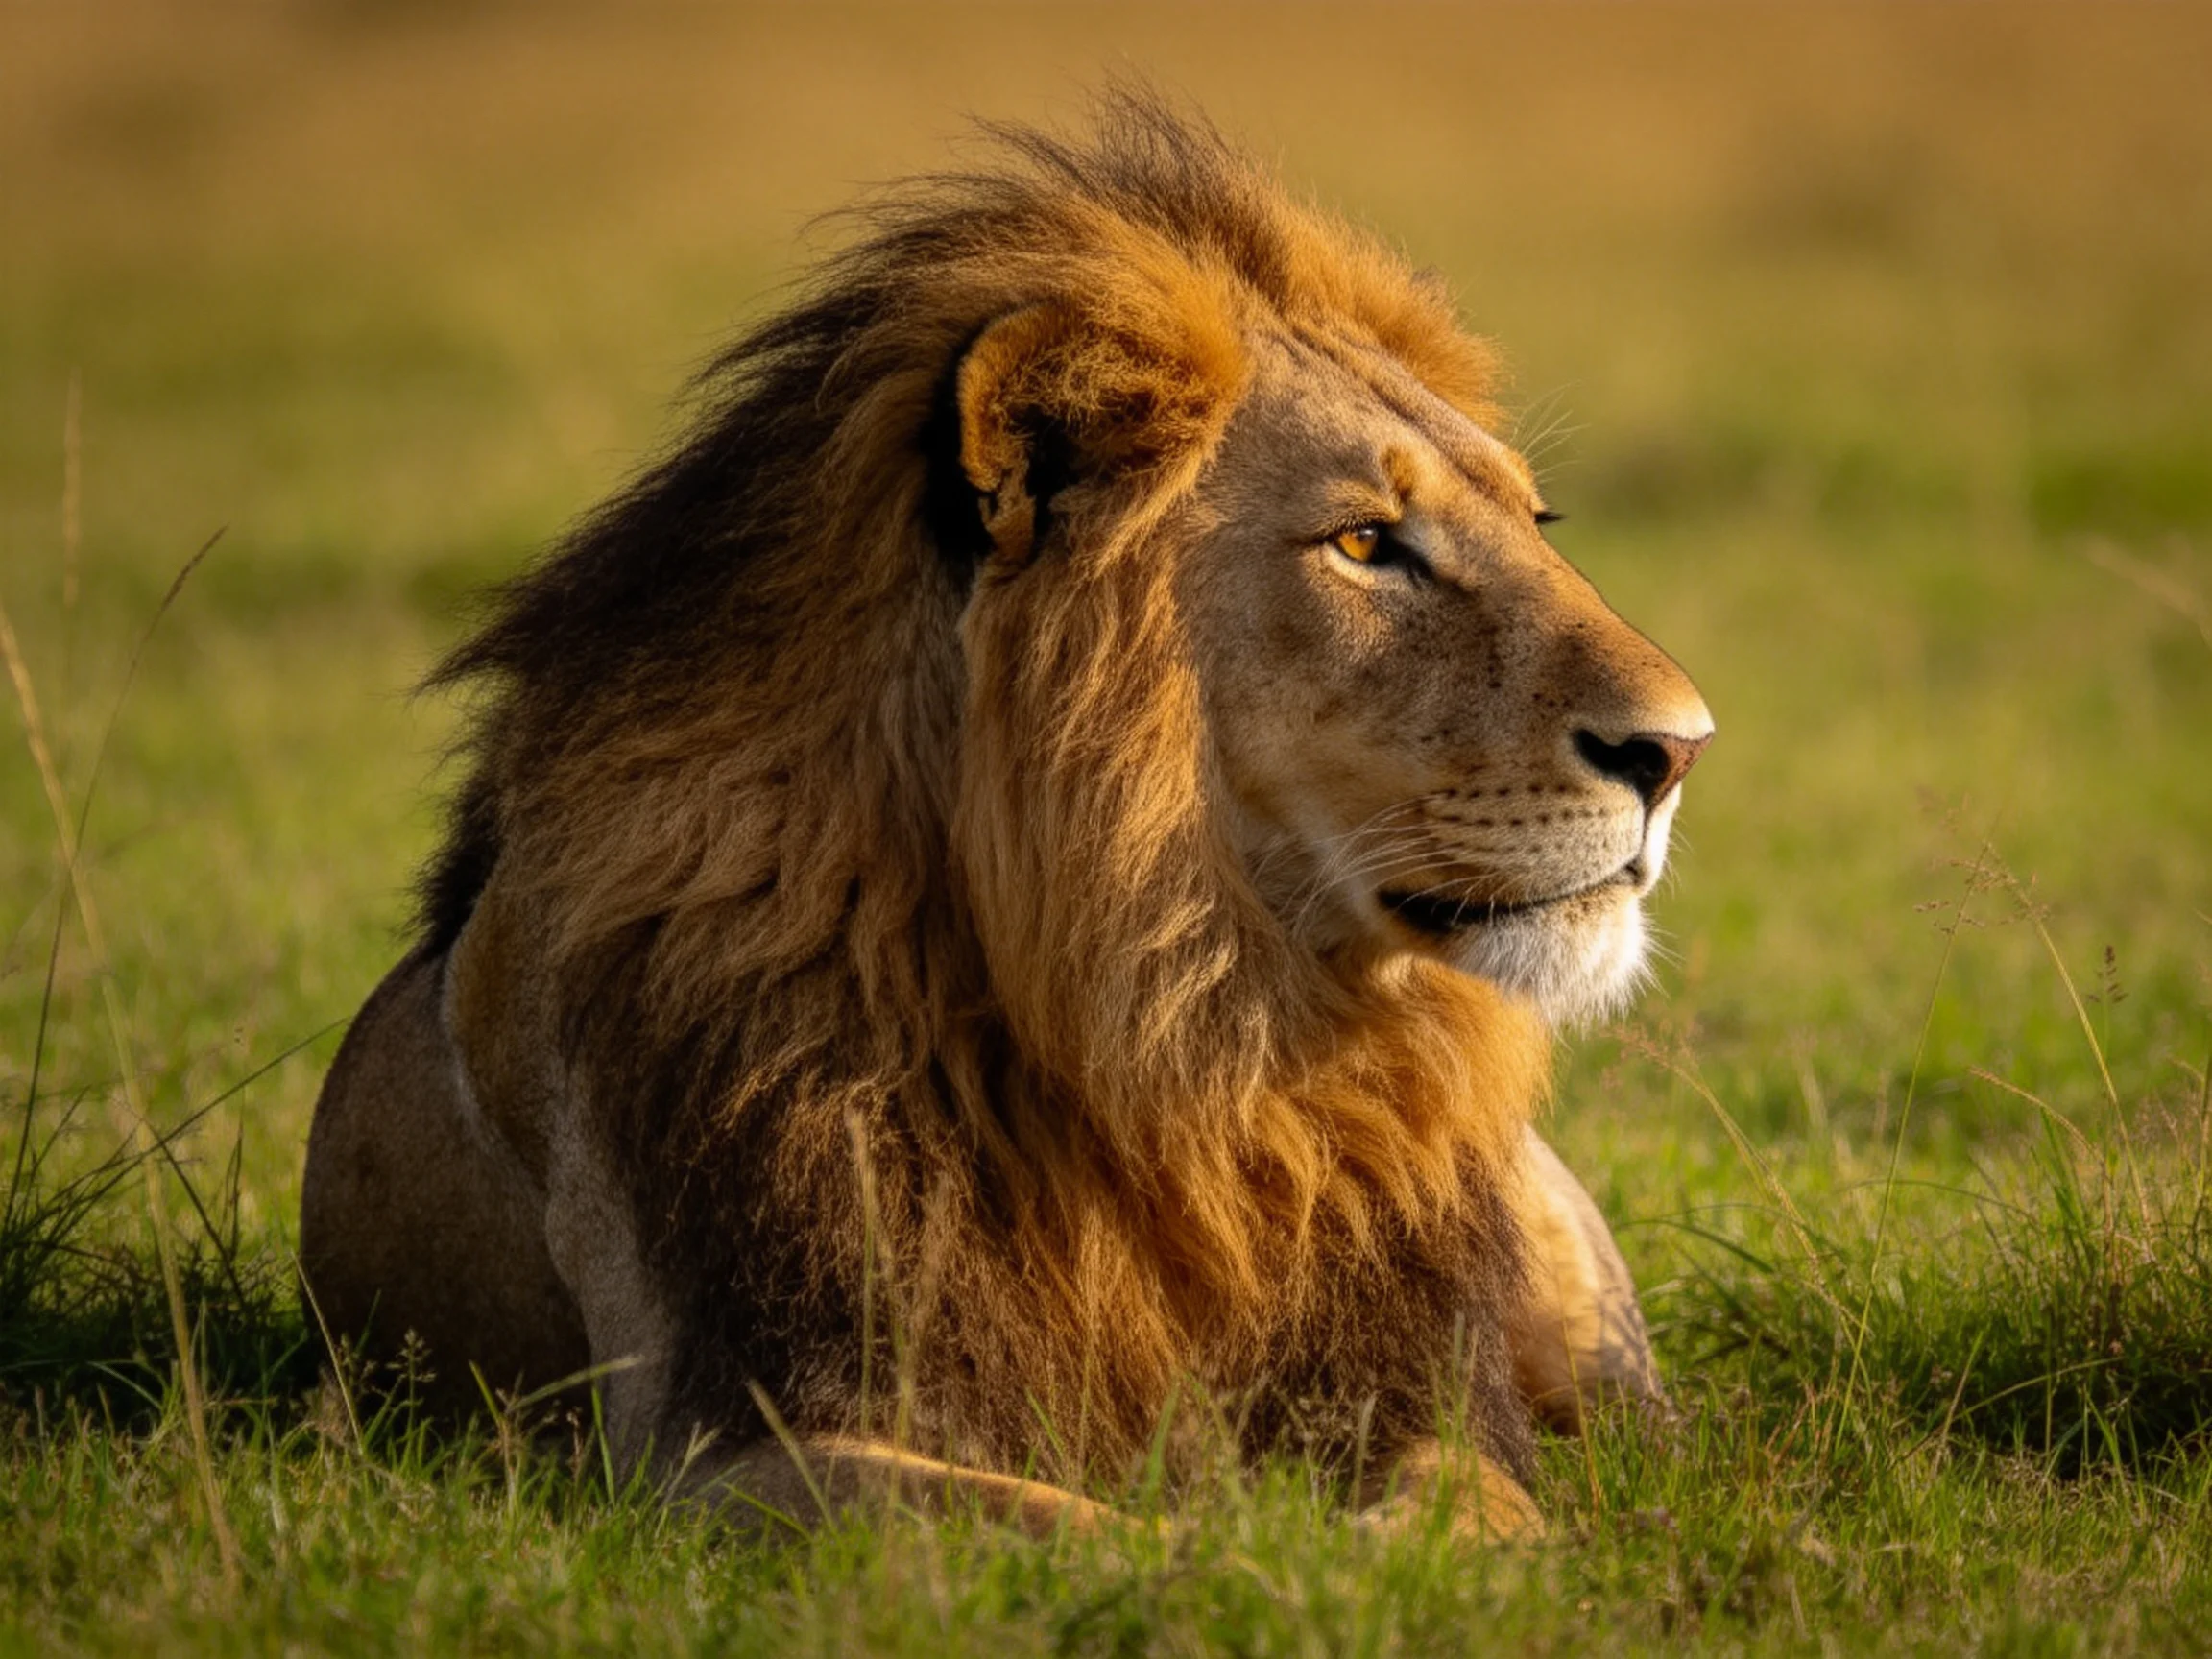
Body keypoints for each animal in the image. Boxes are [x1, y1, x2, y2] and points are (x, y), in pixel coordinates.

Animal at [299, 98, 1709, 1542]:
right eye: (1367, 542)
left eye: (1534, 519)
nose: (1678, 750)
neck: (1179, 1029)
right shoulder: (710, 1450)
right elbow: (1079, 1531)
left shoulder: (1402, 1385)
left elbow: (1468, 1505)